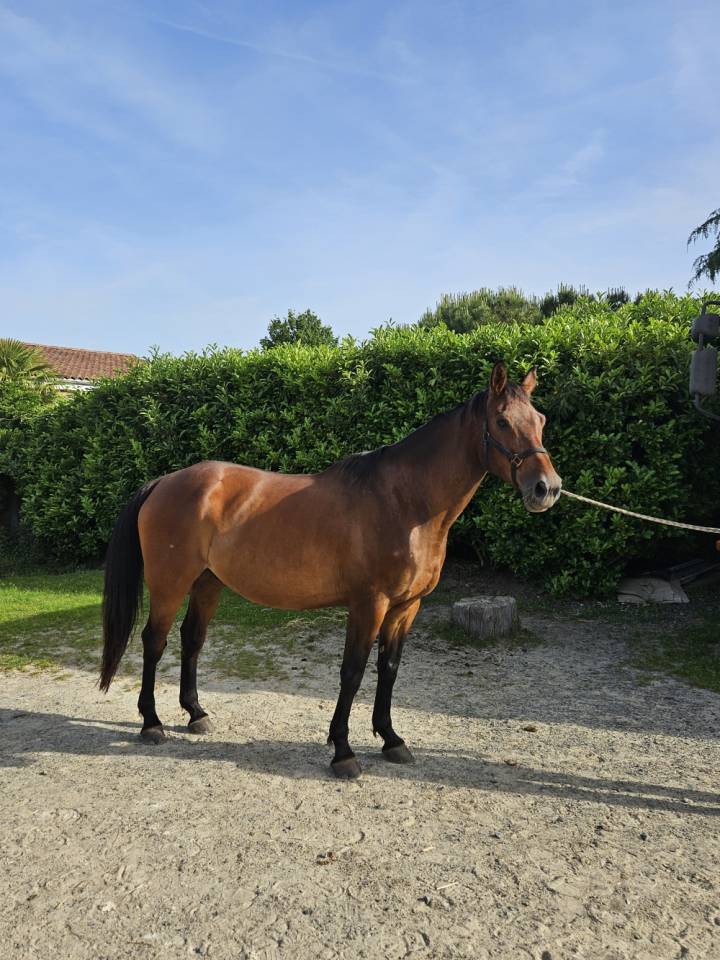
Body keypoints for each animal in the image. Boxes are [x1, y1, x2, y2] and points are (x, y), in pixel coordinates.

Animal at [99, 361, 562, 778]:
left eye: (540, 420)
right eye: (502, 421)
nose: (547, 489)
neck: (404, 503)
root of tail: (163, 482)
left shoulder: (406, 607)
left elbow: (389, 670)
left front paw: (391, 739)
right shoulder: (368, 604)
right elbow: (352, 672)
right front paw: (343, 751)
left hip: (208, 583)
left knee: (192, 639)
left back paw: (196, 713)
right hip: (169, 583)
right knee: (154, 641)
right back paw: (151, 723)